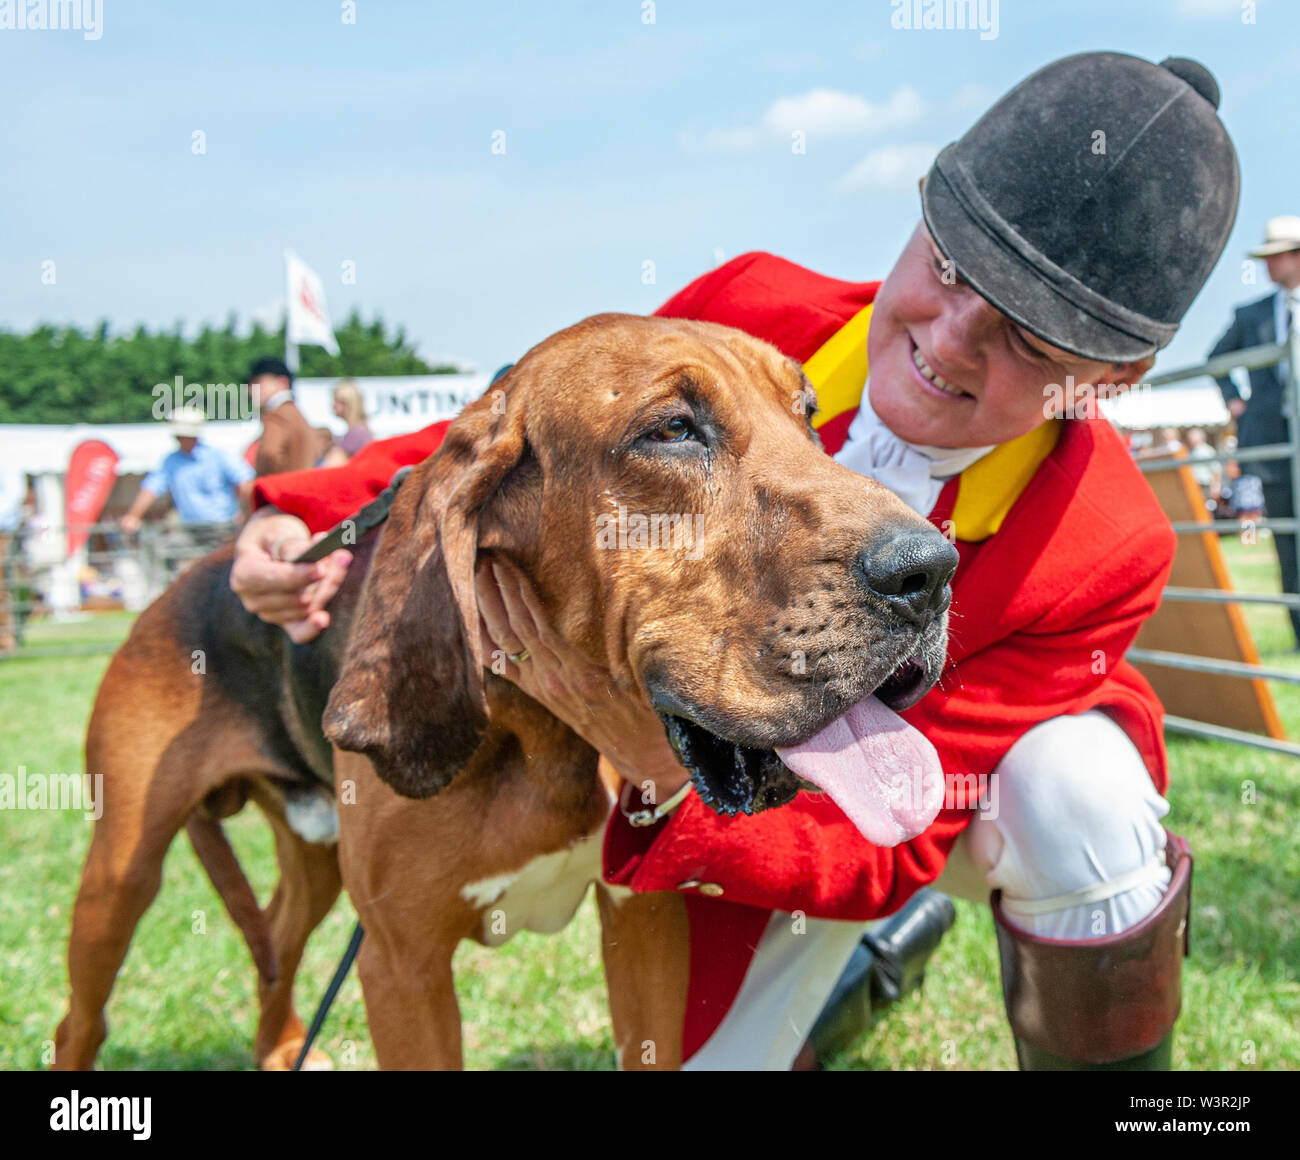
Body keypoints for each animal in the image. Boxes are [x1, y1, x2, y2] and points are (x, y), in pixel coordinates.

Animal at [55, 314, 956, 1071]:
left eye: (807, 414)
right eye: (672, 430)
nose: (931, 572)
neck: (550, 736)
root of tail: (182, 582)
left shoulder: (642, 922)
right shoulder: (402, 965)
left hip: (309, 854)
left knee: (276, 940)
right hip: (120, 875)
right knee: (79, 1020)